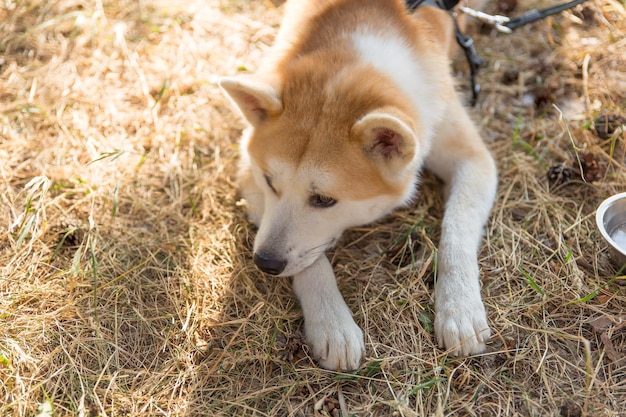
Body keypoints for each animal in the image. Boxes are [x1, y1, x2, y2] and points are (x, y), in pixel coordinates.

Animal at [219, 0, 498, 370]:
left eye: (324, 200)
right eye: (269, 182)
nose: (265, 262)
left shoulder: (473, 159)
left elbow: (457, 230)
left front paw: (459, 306)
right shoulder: (248, 173)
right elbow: (311, 261)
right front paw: (332, 324)